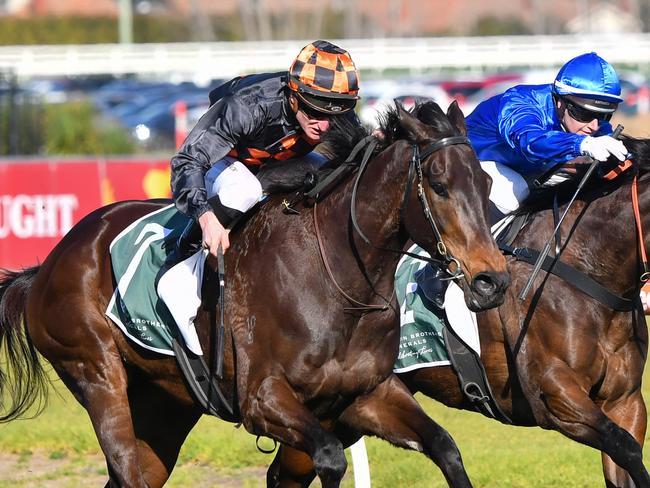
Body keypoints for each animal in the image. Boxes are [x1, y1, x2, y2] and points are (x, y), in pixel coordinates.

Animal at [0, 101, 506, 486]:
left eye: (485, 183)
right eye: (439, 185)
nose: (492, 281)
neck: (338, 280)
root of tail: (47, 266)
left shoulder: (367, 393)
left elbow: (445, 446)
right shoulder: (261, 400)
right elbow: (330, 458)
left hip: (163, 401)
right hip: (96, 372)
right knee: (126, 466)